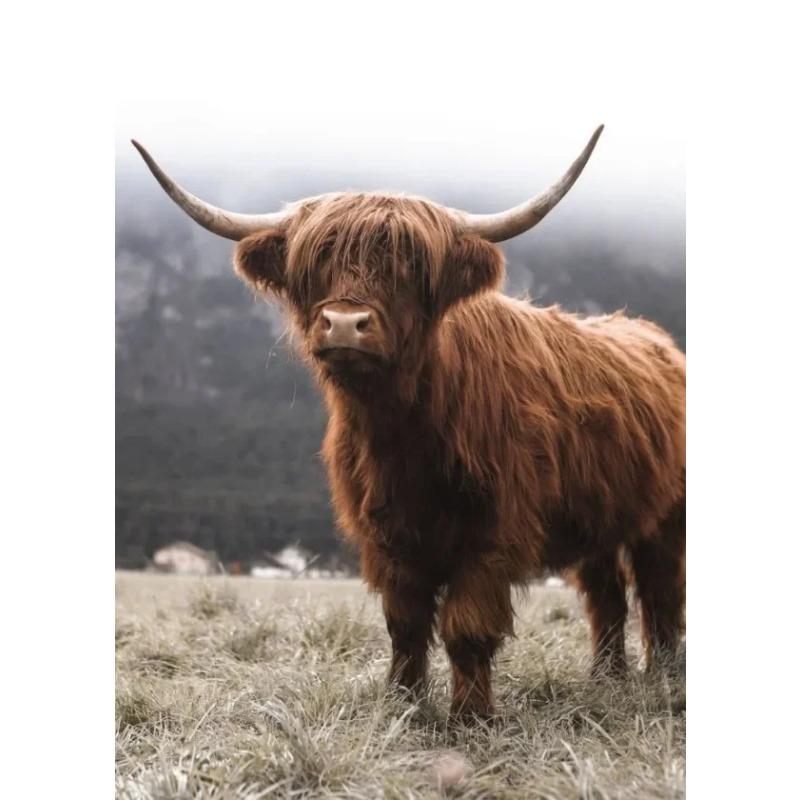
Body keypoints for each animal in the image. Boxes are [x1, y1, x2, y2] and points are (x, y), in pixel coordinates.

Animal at [133, 126, 685, 719]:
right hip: (600, 517)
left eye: (410, 267)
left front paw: (470, 719)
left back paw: (663, 677)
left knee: (661, 593)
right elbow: (405, 624)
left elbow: (467, 628)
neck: (403, 436)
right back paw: (605, 677)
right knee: (606, 597)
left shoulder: (491, 532)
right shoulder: (386, 535)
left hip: (666, 517)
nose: (344, 323)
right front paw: (403, 704)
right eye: (315, 265)